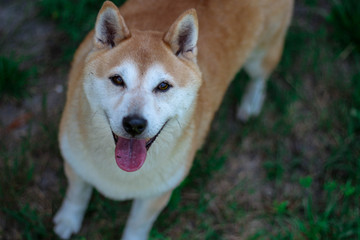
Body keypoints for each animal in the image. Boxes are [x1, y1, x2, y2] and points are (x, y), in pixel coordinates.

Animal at [54, 0, 294, 239]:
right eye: (118, 80)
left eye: (163, 86)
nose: (134, 124)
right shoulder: (75, 165)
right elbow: (76, 195)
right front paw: (68, 220)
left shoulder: (156, 195)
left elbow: (137, 224)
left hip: (262, 54)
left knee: (260, 78)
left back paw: (251, 102)